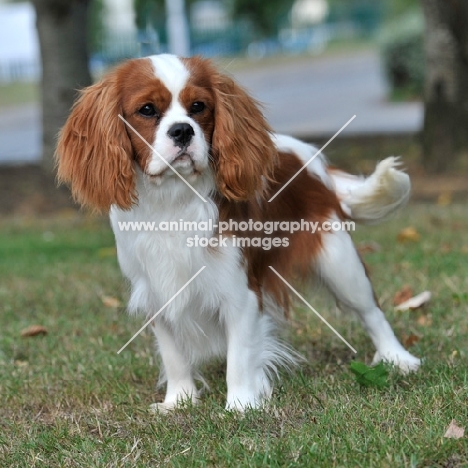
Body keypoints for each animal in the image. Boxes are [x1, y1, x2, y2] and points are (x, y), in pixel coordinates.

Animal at [55, 54, 420, 412]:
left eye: (199, 106)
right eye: (146, 110)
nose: (182, 130)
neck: (174, 199)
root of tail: (313, 158)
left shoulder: (240, 290)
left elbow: (240, 355)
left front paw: (242, 403)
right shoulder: (157, 291)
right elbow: (173, 355)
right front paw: (179, 400)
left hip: (339, 262)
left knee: (371, 312)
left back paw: (398, 358)